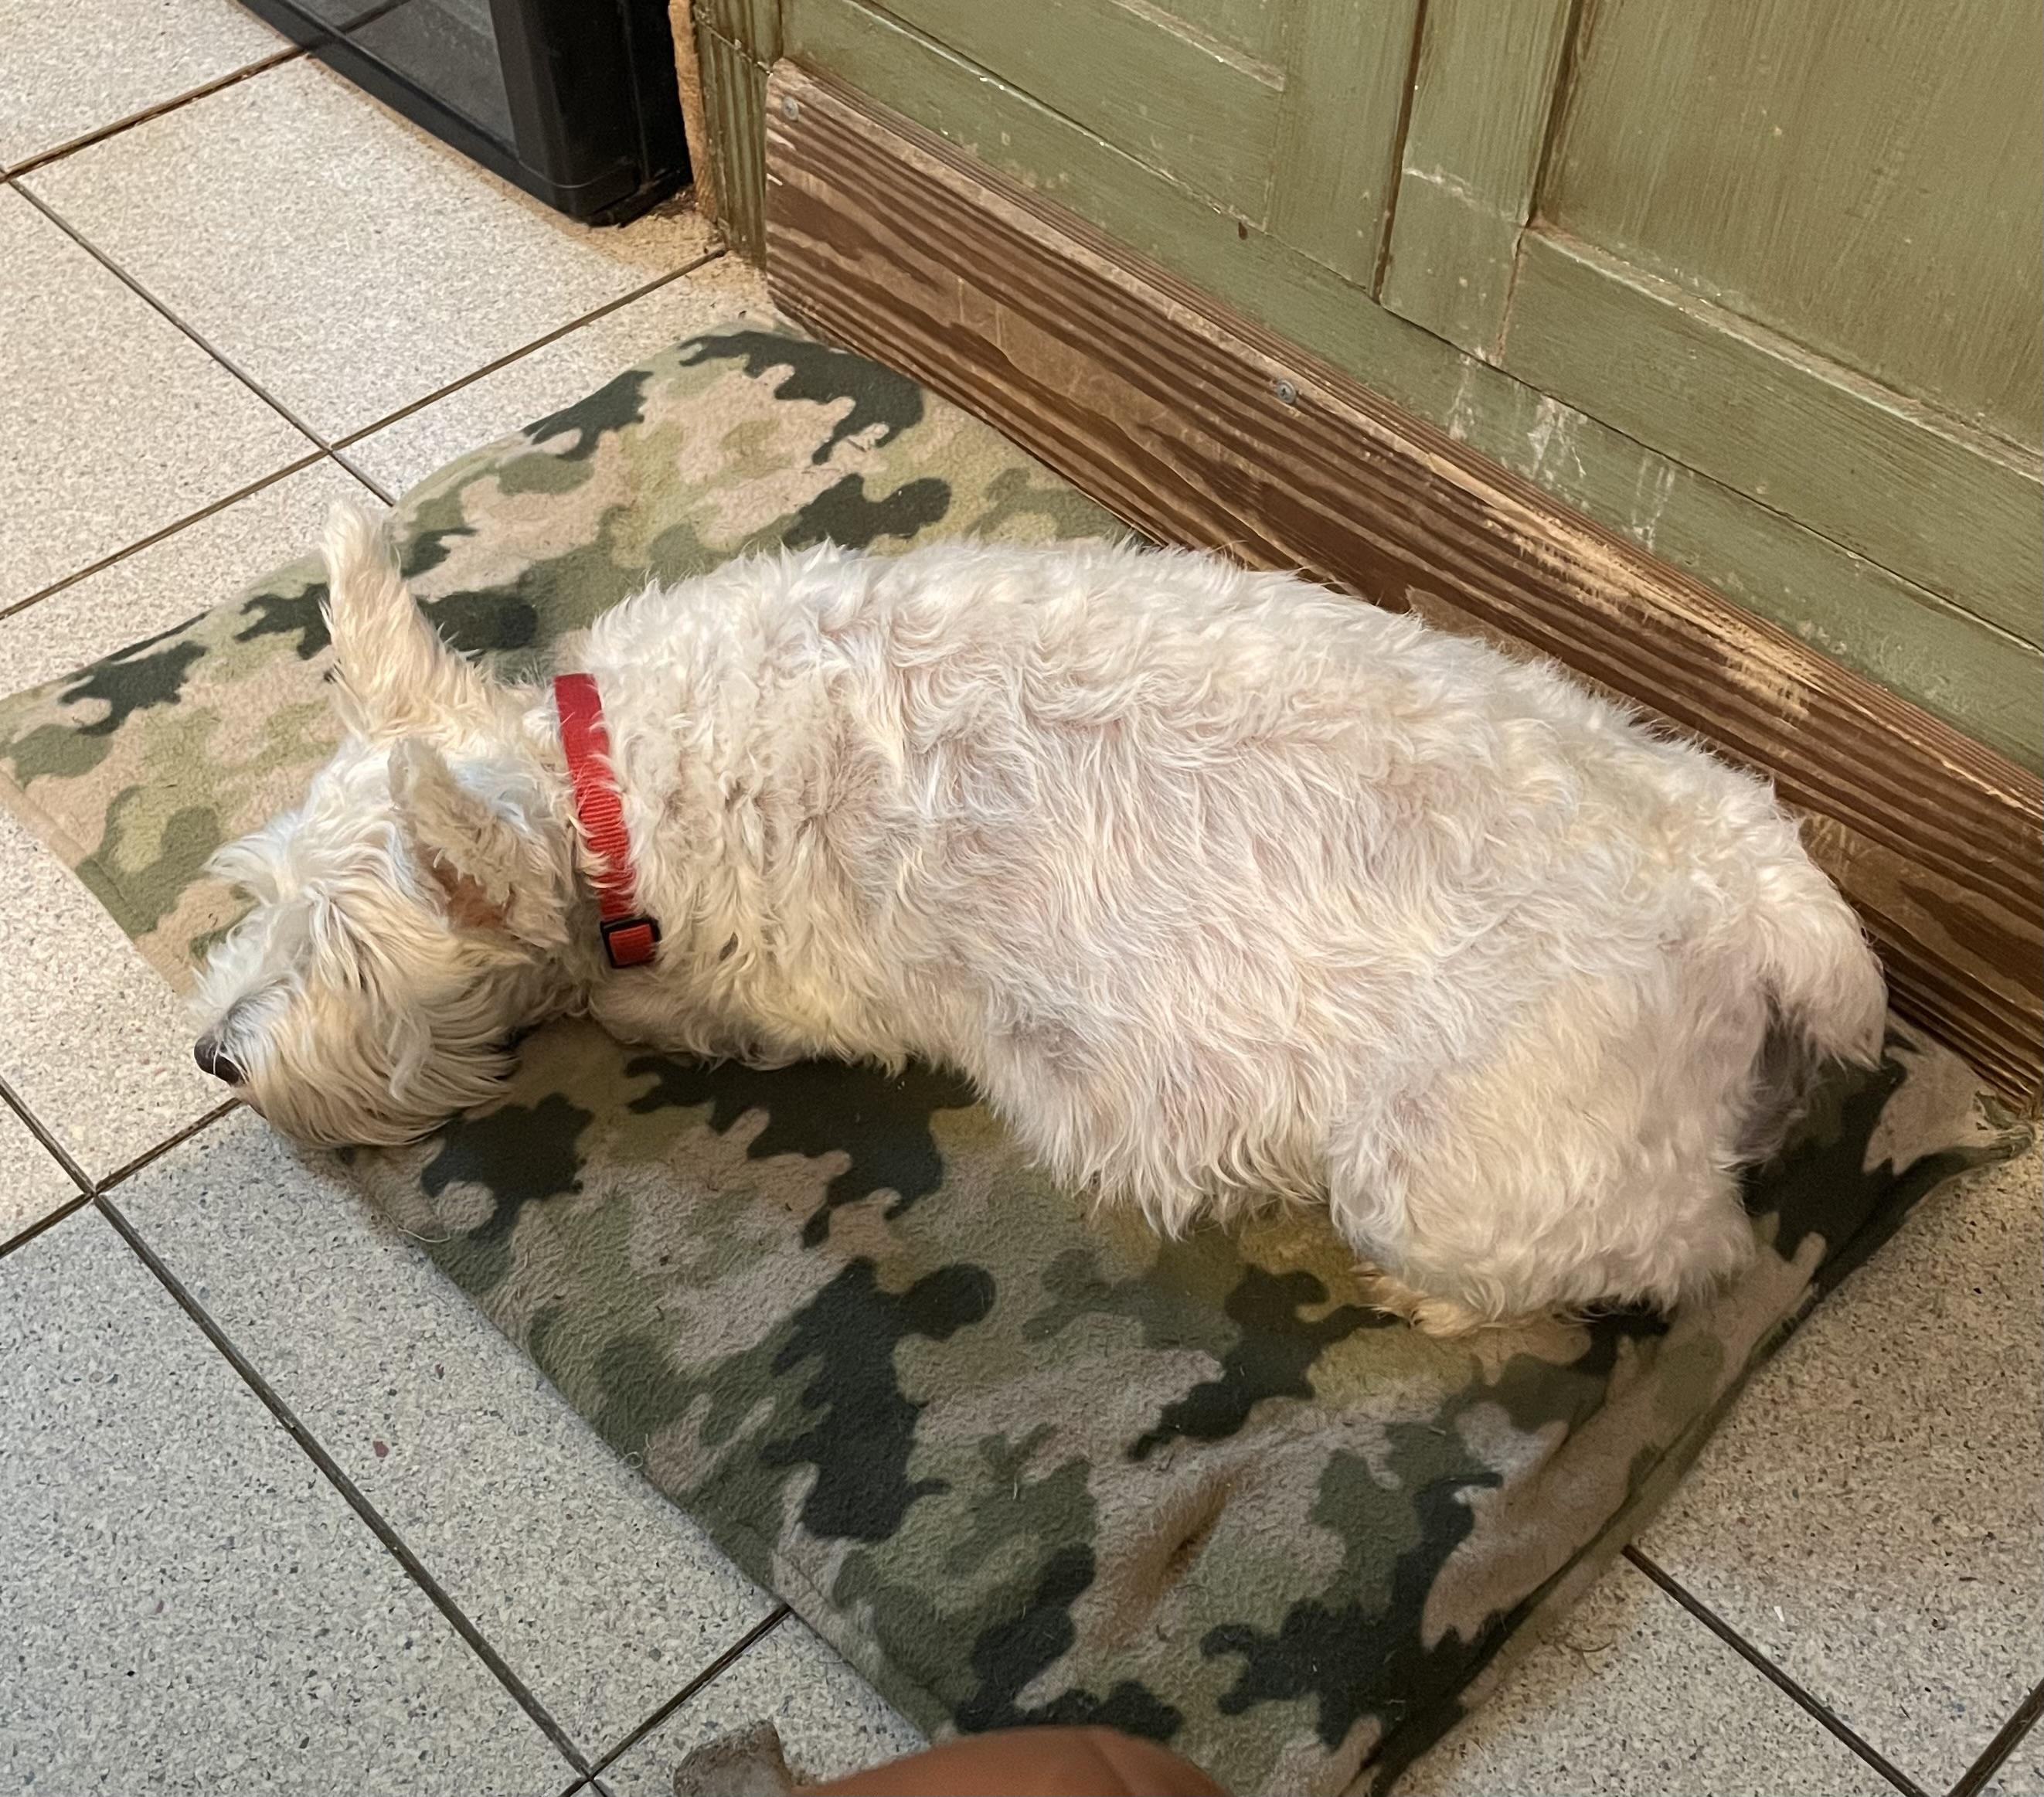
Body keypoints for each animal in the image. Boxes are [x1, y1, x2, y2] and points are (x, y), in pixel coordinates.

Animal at [191, 502, 1885, 1332]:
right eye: (257, 900)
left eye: (349, 966)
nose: (213, 1053)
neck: (609, 785)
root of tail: (1756, 897)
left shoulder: (770, 978)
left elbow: (654, 1000)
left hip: (1452, 1167)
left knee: (1674, 1253)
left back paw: (1430, 1299)